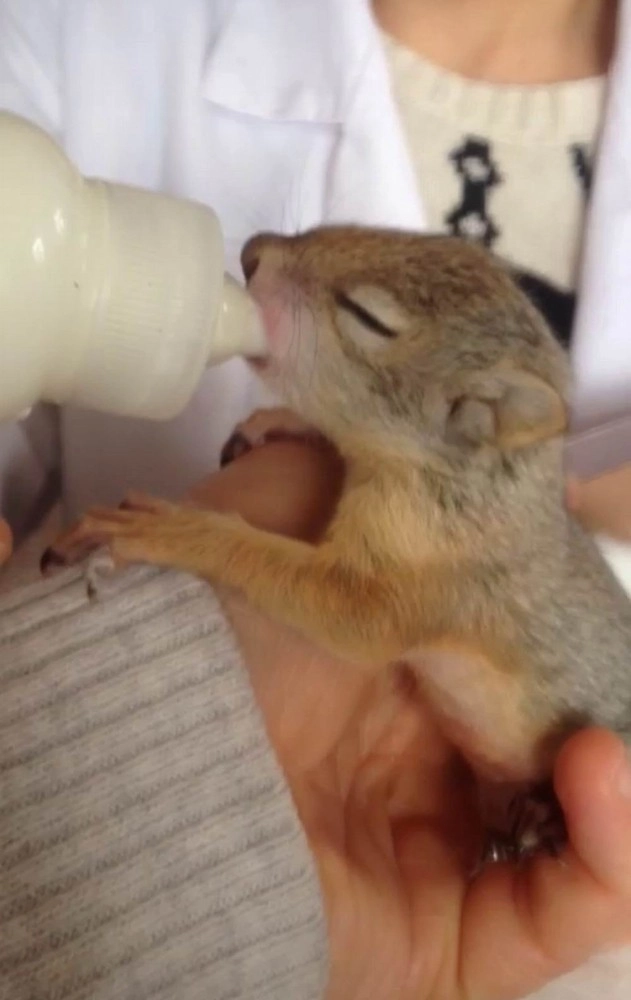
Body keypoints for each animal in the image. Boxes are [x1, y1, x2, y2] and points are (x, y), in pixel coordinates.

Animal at [45, 225, 631, 860]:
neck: (469, 479)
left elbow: (351, 615)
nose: (252, 252)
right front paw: (277, 422)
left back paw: (543, 820)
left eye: (366, 317)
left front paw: (171, 531)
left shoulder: (427, 570)